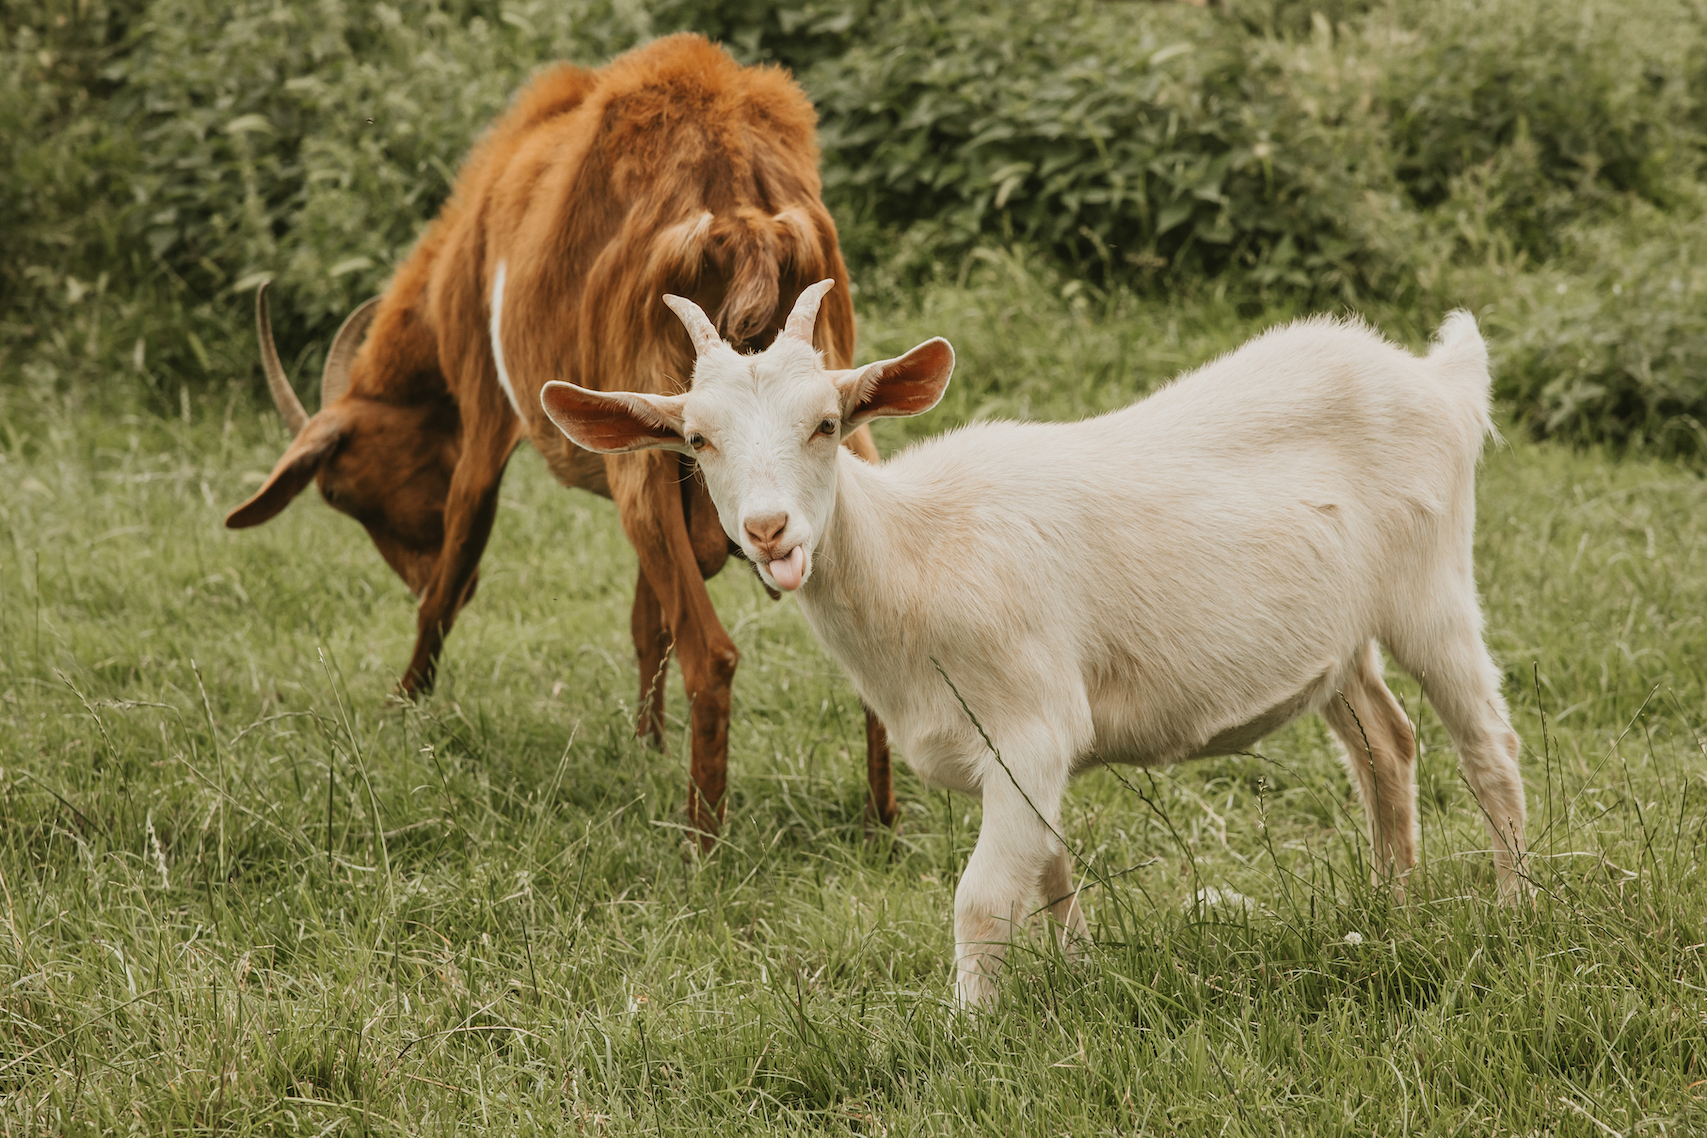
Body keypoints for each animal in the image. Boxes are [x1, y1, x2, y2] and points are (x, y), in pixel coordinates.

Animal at [227, 33, 901, 846]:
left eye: (342, 492)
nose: (409, 571)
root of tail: (742, 211)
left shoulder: (489, 413)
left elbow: (451, 578)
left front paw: (401, 710)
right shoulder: (667, 454)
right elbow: (646, 622)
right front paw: (647, 745)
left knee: (712, 656)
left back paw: (701, 845)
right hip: (834, 413)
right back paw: (881, 822)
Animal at [525, 279, 1529, 1003]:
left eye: (827, 424)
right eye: (696, 440)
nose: (771, 532)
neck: (916, 559)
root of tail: (1437, 378)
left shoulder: (1030, 725)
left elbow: (979, 899)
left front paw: (967, 1032)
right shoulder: (1019, 754)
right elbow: (1049, 867)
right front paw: (1082, 974)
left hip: (1431, 586)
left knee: (1486, 743)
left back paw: (1513, 907)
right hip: (1339, 637)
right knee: (1385, 743)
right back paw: (1391, 907)